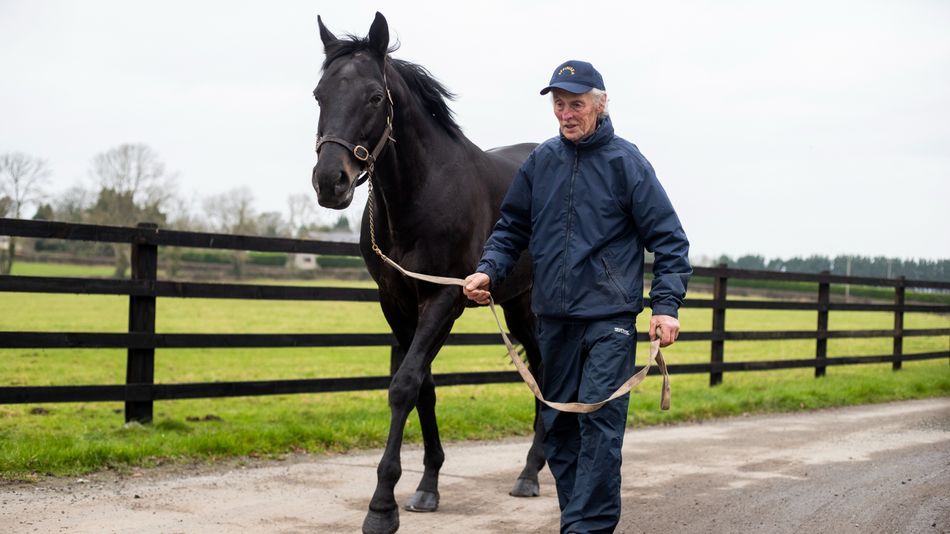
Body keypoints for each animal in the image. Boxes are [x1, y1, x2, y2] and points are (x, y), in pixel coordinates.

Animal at [311, 12, 545, 534]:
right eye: (319, 94)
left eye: (374, 97)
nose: (330, 182)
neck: (420, 194)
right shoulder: (396, 303)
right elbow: (423, 387)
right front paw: (427, 486)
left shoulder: (444, 300)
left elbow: (404, 385)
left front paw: (382, 507)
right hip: (515, 303)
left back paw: (532, 472)